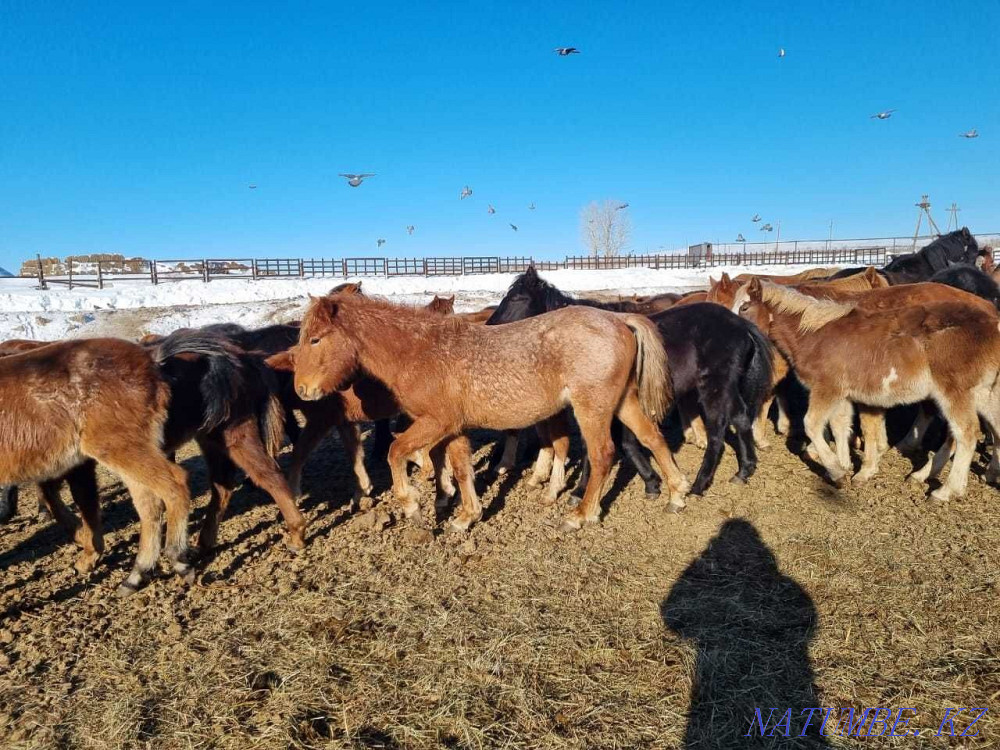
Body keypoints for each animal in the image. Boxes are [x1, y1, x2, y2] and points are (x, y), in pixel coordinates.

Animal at [0, 338, 194, 594]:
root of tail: (150, 361)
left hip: (118, 446)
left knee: (175, 484)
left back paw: (178, 558)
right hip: (128, 448)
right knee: (149, 504)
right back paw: (137, 574)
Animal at [293, 291, 687, 530]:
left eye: (315, 339)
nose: (302, 390)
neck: (420, 352)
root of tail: (620, 320)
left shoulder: (434, 423)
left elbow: (395, 452)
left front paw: (412, 505)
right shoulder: (453, 428)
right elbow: (461, 469)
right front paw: (466, 516)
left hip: (593, 407)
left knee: (603, 453)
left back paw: (579, 515)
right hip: (623, 402)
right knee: (652, 437)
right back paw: (676, 493)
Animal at [739, 278, 1000, 501]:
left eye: (744, 307)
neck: (816, 334)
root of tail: (993, 322)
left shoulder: (827, 388)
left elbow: (812, 425)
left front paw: (836, 471)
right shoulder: (843, 394)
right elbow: (841, 425)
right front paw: (846, 465)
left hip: (955, 392)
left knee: (966, 433)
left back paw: (944, 490)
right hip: (985, 394)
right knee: (993, 428)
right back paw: (982, 475)